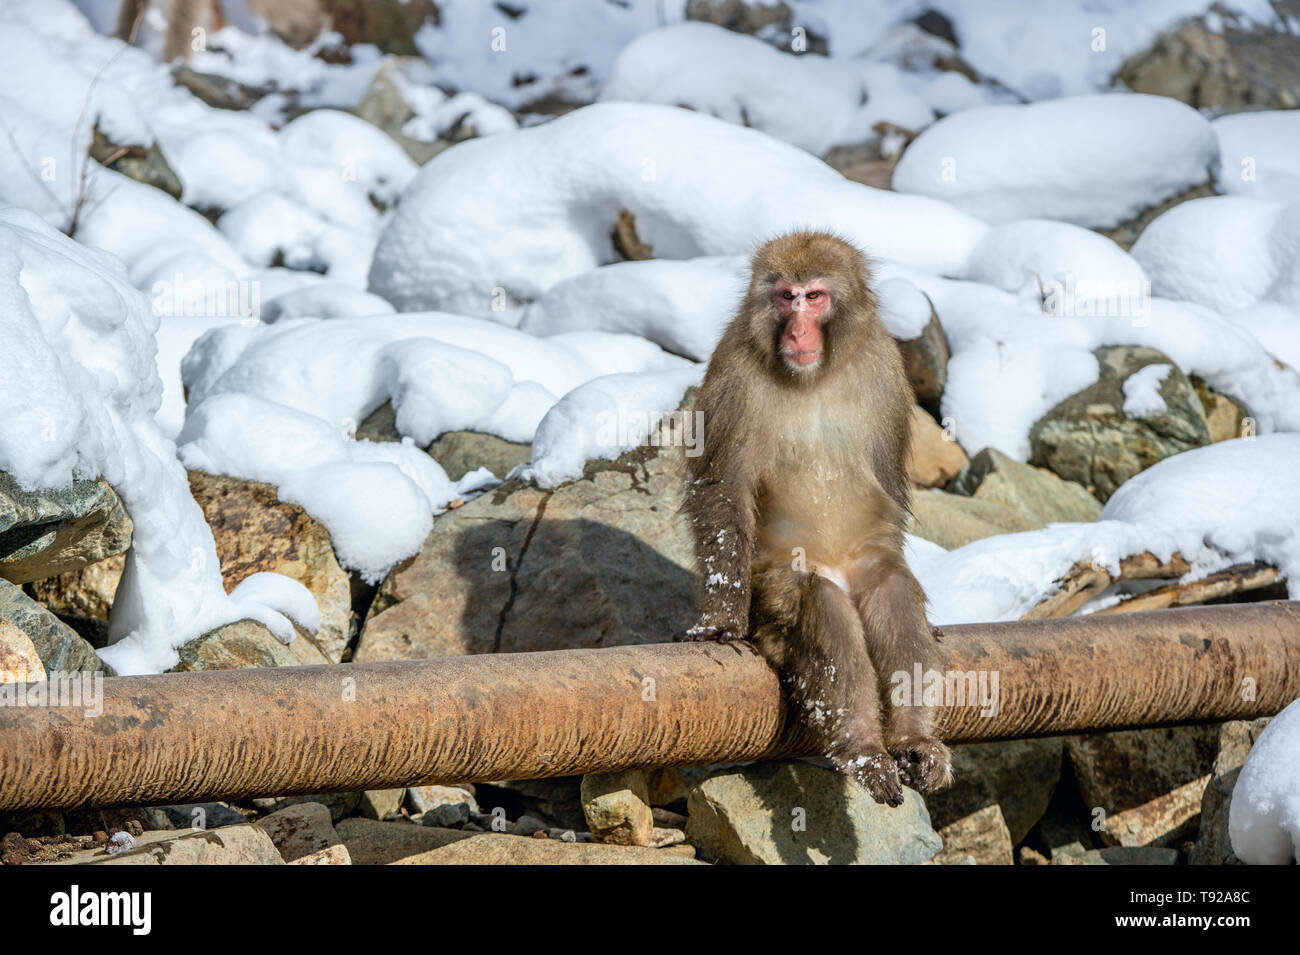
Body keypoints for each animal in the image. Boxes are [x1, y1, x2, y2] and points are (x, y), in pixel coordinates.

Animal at [681, 231, 956, 805]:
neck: (815, 376)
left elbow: (889, 487)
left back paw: (914, 742)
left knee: (890, 587)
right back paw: (863, 750)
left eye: (815, 297)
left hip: (861, 565)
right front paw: (718, 622)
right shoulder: (734, 372)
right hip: (773, 588)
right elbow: (722, 488)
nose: (798, 328)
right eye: (786, 297)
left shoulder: (885, 370)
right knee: (816, 600)